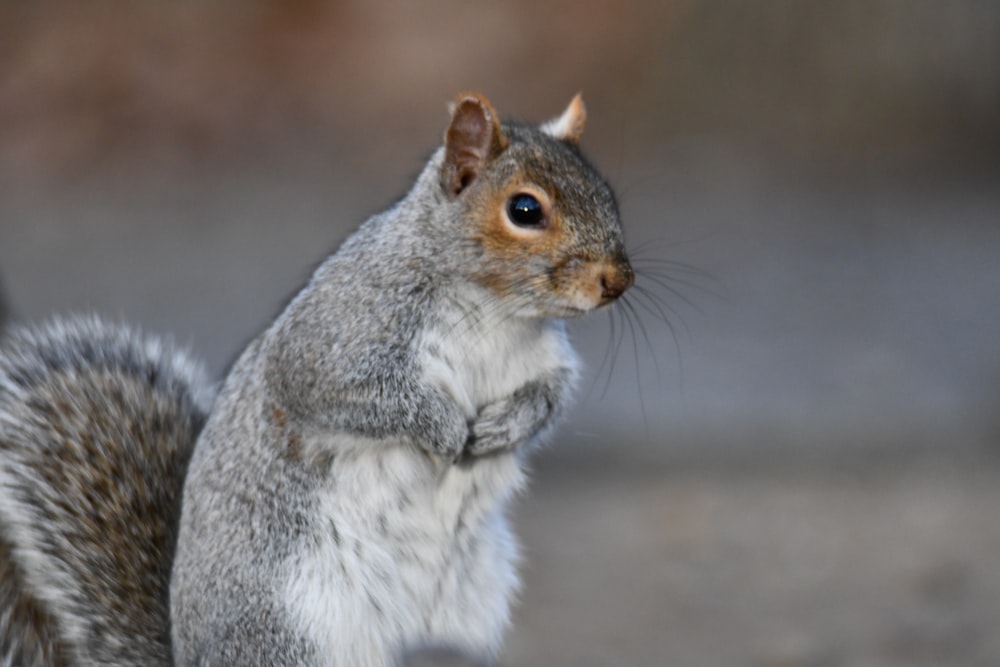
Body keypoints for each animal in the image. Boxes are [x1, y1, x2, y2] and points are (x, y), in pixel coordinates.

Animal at [1, 91, 632, 664]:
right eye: (524, 210)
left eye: (608, 194)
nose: (617, 280)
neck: (498, 311)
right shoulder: (335, 340)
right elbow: (356, 394)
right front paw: (445, 428)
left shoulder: (544, 361)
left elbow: (549, 399)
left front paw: (505, 426)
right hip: (292, 631)